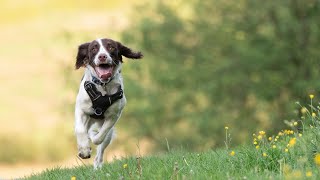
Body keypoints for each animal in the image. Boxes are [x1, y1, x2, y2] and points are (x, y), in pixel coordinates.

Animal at [74, 37, 142, 169]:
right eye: (93, 48)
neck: (103, 86)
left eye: (111, 47)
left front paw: (93, 138)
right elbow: (80, 129)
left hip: (108, 134)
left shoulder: (114, 115)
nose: (102, 56)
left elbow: (100, 137)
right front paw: (84, 150)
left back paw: (97, 167)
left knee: (99, 153)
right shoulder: (81, 109)